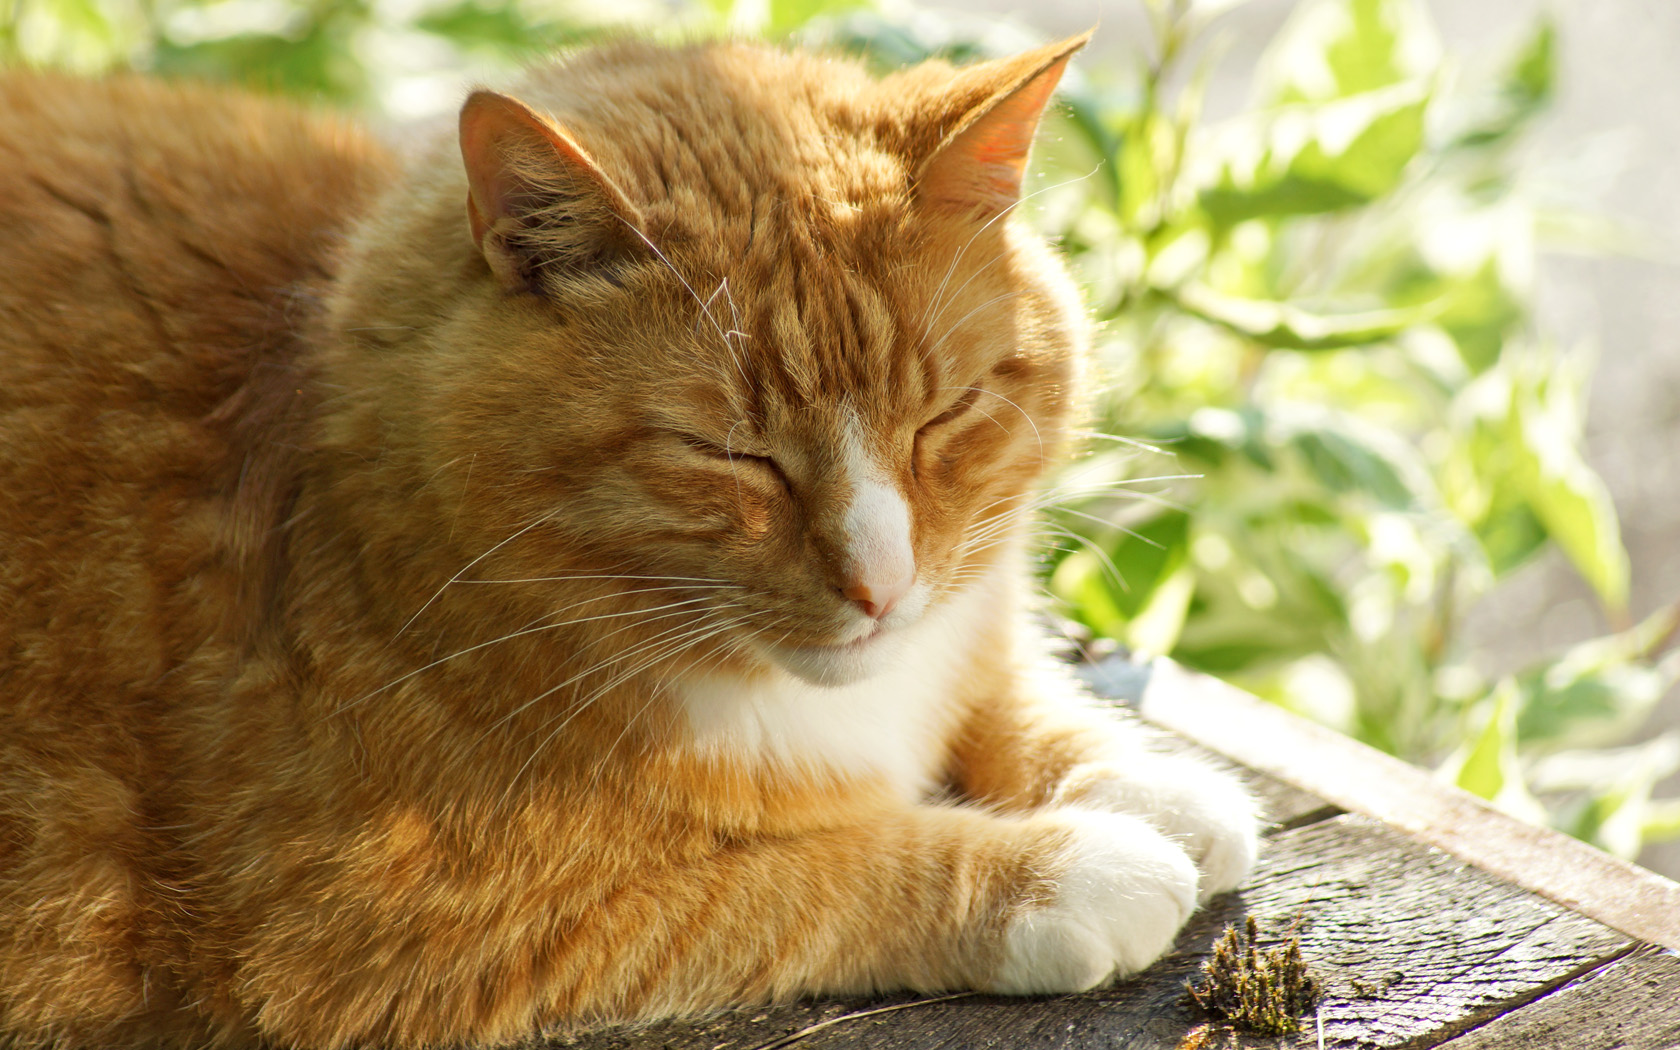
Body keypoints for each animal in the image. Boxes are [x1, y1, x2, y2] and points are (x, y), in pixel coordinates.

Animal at [0, 34, 1263, 1048]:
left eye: (943, 416)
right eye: (731, 455)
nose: (880, 586)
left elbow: (994, 691)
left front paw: (1144, 777)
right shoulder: (376, 927)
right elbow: (795, 878)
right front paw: (1067, 865)